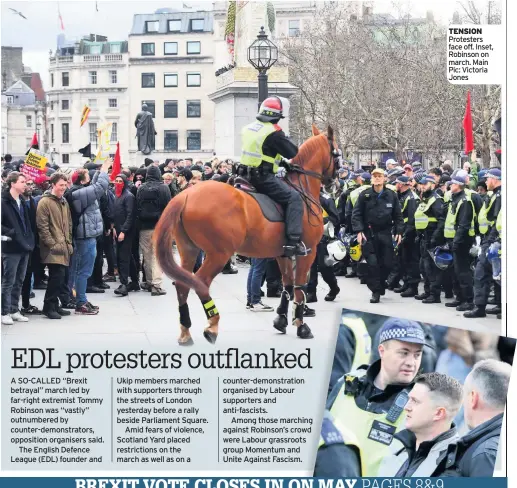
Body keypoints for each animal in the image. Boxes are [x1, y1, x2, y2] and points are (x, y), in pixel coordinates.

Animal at [153, 127, 338, 346]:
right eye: (336, 153)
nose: (333, 182)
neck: (301, 189)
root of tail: (186, 195)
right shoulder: (307, 252)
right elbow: (300, 287)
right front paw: (301, 325)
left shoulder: (282, 253)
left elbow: (288, 284)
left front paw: (281, 319)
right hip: (219, 254)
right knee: (201, 282)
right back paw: (212, 325)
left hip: (188, 249)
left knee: (183, 284)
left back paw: (185, 331)